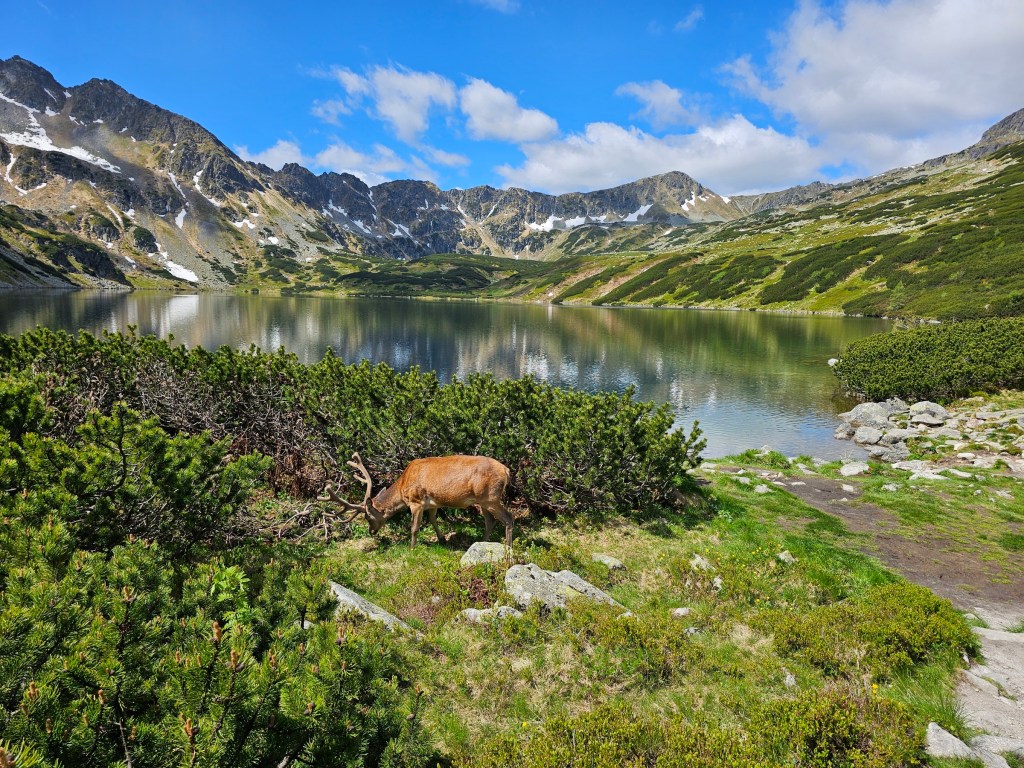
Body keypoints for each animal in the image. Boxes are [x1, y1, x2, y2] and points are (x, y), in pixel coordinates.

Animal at [321, 453, 515, 549]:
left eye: (368, 517)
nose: (371, 531)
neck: (403, 487)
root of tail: (506, 471)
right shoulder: (434, 503)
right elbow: (432, 519)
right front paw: (442, 539)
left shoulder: (416, 501)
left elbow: (414, 527)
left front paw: (412, 548)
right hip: (482, 501)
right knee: (490, 521)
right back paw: (481, 542)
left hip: (491, 497)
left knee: (508, 518)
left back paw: (508, 547)